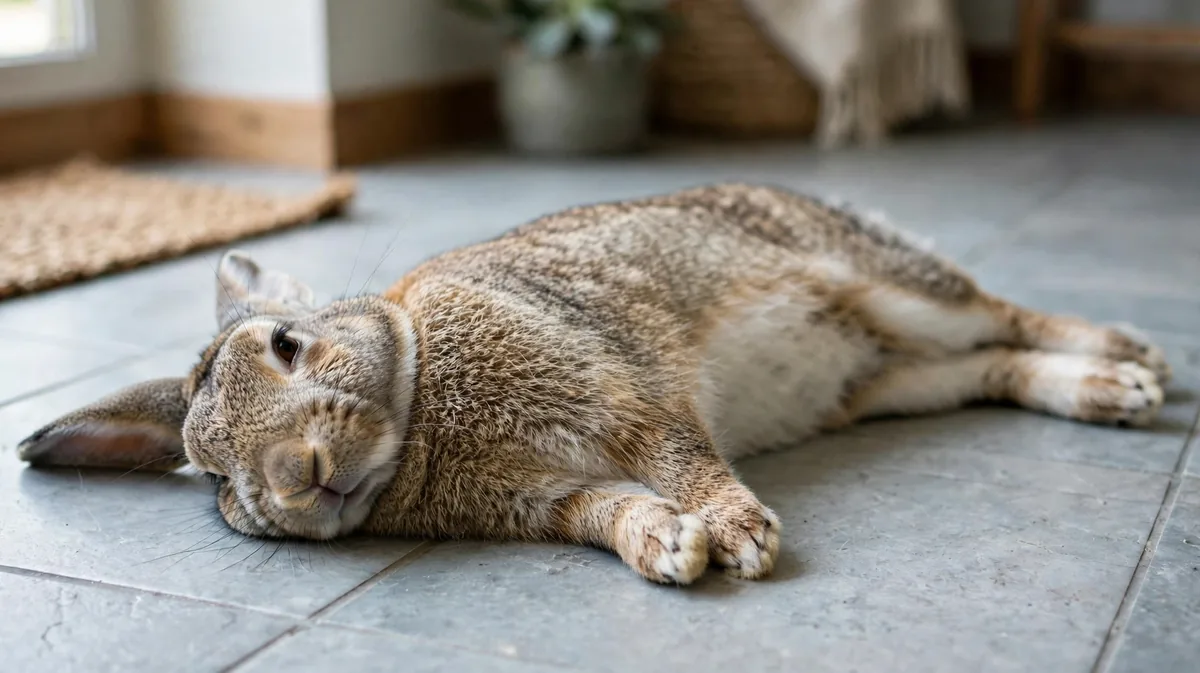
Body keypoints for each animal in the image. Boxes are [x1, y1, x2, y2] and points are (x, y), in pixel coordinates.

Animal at [18, 183, 1171, 585]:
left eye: (291, 345)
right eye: (213, 475)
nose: (296, 477)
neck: (424, 413)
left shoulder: (624, 392)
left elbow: (681, 452)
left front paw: (742, 534)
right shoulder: (548, 498)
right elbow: (609, 509)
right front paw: (671, 549)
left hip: (890, 286)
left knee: (1005, 313)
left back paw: (1135, 360)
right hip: (888, 379)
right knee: (987, 367)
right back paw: (1105, 392)